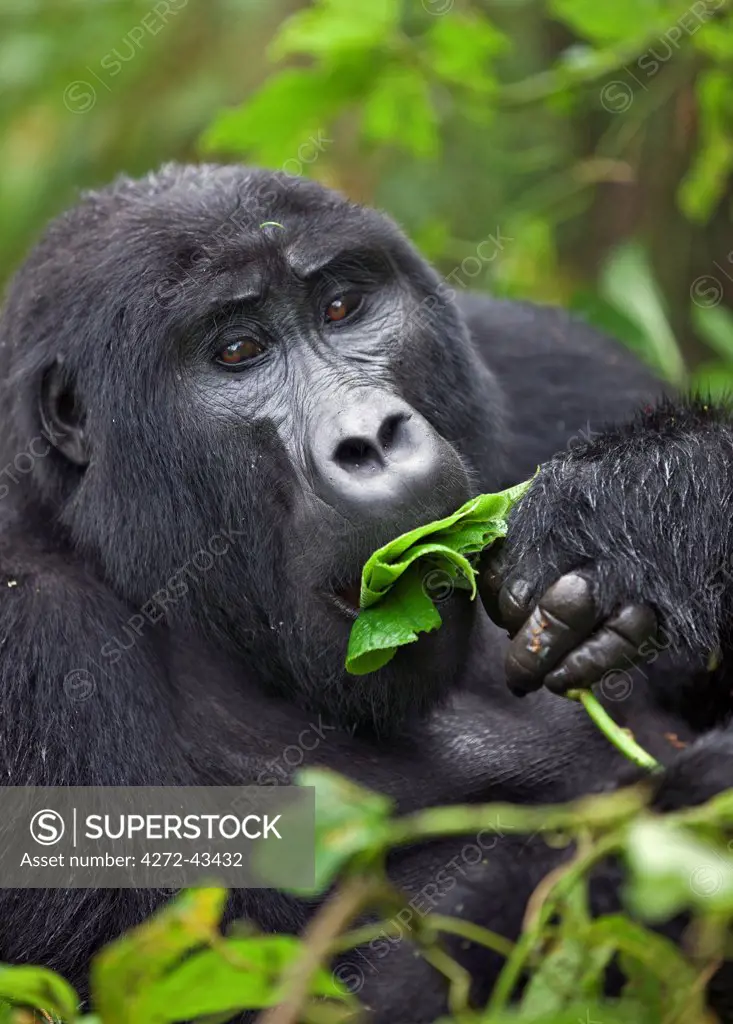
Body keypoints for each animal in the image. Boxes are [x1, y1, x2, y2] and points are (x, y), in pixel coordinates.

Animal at [1, 163, 733, 1019]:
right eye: (237, 351)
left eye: (342, 307)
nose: (372, 439)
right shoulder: (36, 643)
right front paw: (677, 816)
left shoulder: (548, 361)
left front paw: (658, 501)